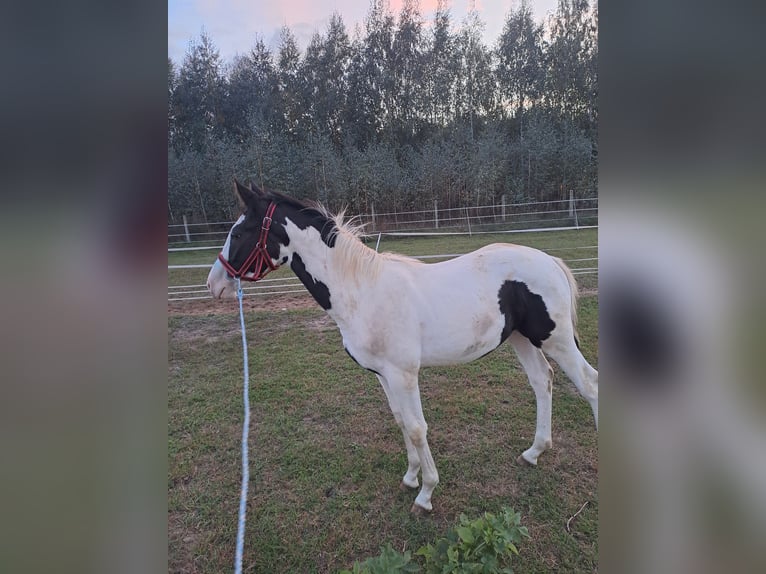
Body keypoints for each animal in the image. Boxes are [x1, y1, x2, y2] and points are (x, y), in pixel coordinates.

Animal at [207, 180, 598, 514]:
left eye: (238, 232)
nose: (214, 284)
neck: (362, 291)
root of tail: (549, 261)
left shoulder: (405, 375)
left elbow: (416, 427)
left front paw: (426, 494)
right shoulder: (383, 375)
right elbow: (399, 421)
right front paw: (411, 478)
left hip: (557, 339)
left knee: (589, 383)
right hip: (522, 339)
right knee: (542, 382)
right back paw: (534, 452)